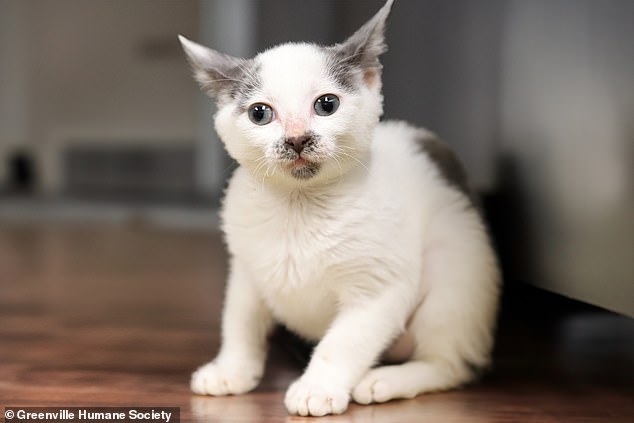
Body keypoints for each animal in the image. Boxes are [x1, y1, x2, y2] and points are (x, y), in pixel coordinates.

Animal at [178, 0, 498, 418]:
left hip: (454, 267)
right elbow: (239, 321)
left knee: (451, 363)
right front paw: (231, 369)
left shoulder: (379, 287)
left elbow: (343, 342)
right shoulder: (246, 270)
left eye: (327, 105)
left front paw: (317, 387)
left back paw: (387, 380)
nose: (297, 138)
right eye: (259, 114)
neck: (299, 207)